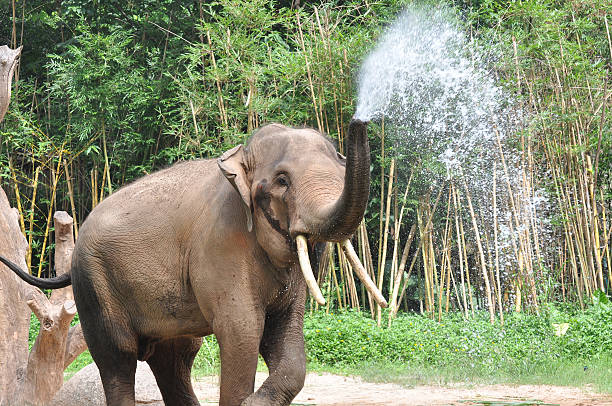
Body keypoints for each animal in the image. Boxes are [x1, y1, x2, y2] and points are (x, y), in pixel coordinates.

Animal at [0, 119, 384, 406]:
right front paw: (245, 402)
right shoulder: (220, 245)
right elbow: (242, 329)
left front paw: (253, 401)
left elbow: (285, 333)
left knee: (174, 357)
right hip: (94, 285)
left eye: (340, 164)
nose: (361, 120)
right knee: (118, 357)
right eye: (282, 180)